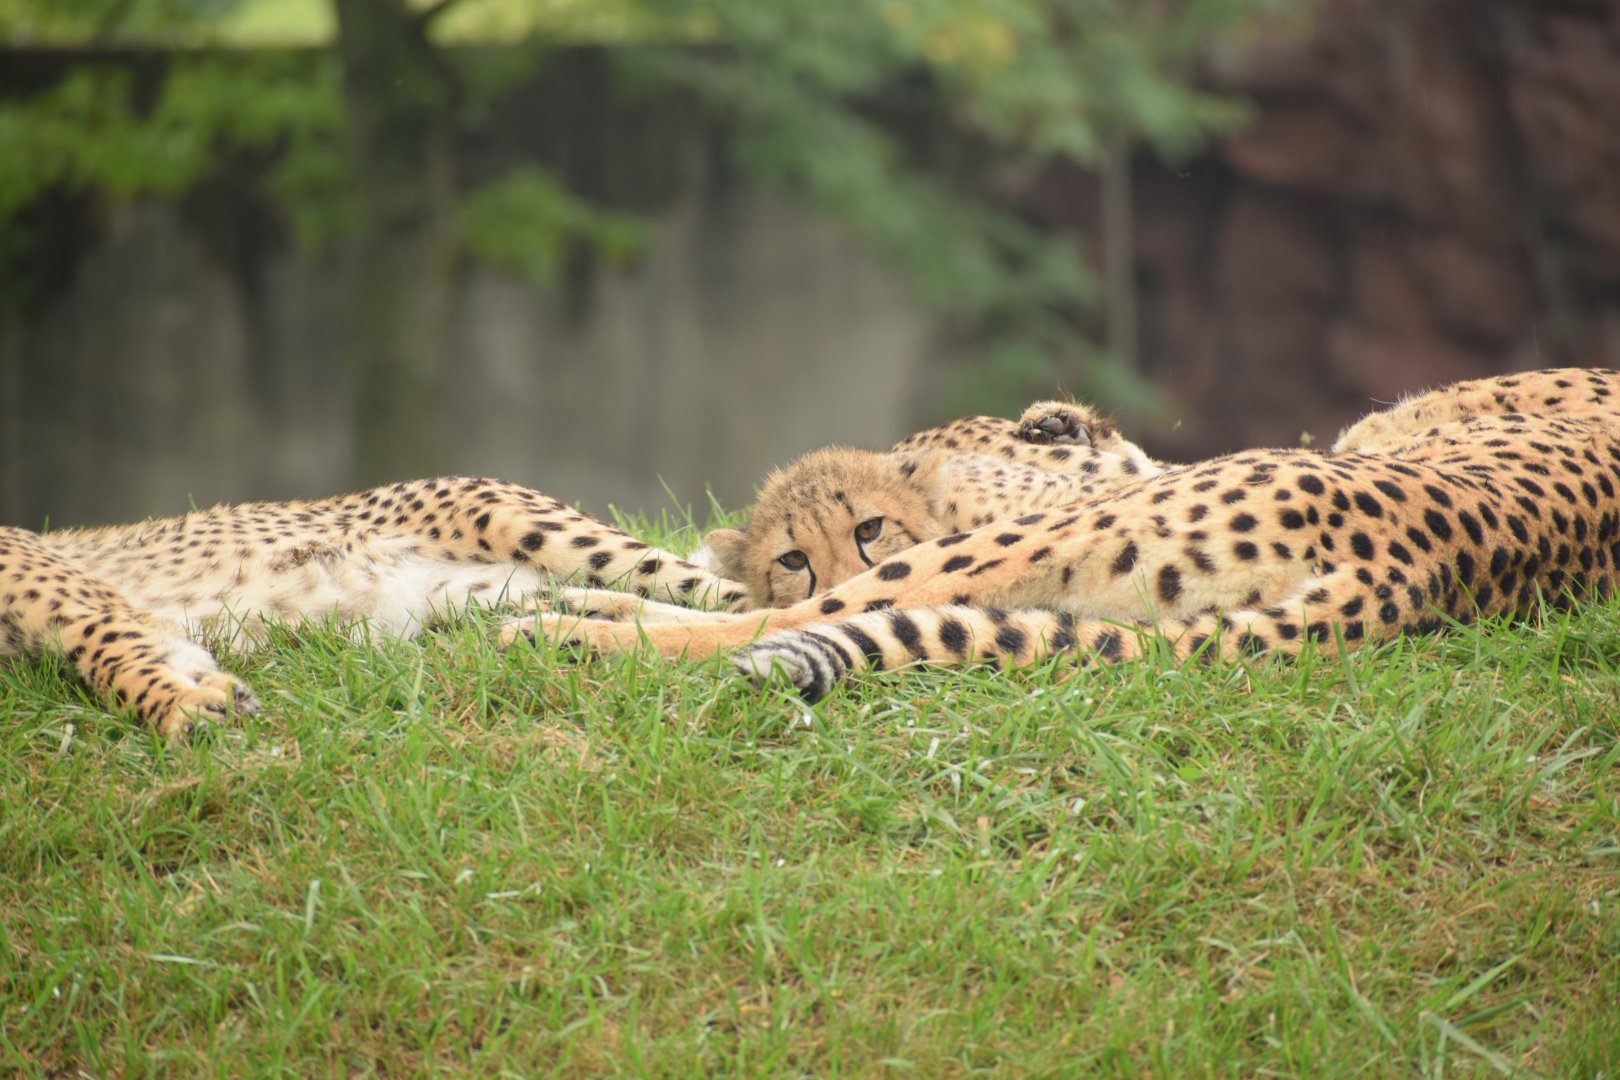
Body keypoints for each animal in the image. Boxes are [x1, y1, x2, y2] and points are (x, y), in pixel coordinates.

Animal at [525, 368, 1620, 702]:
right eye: (792, 549)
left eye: (867, 527)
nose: (812, 569)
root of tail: (1426, 574)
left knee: (762, 632)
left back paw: (558, 627)